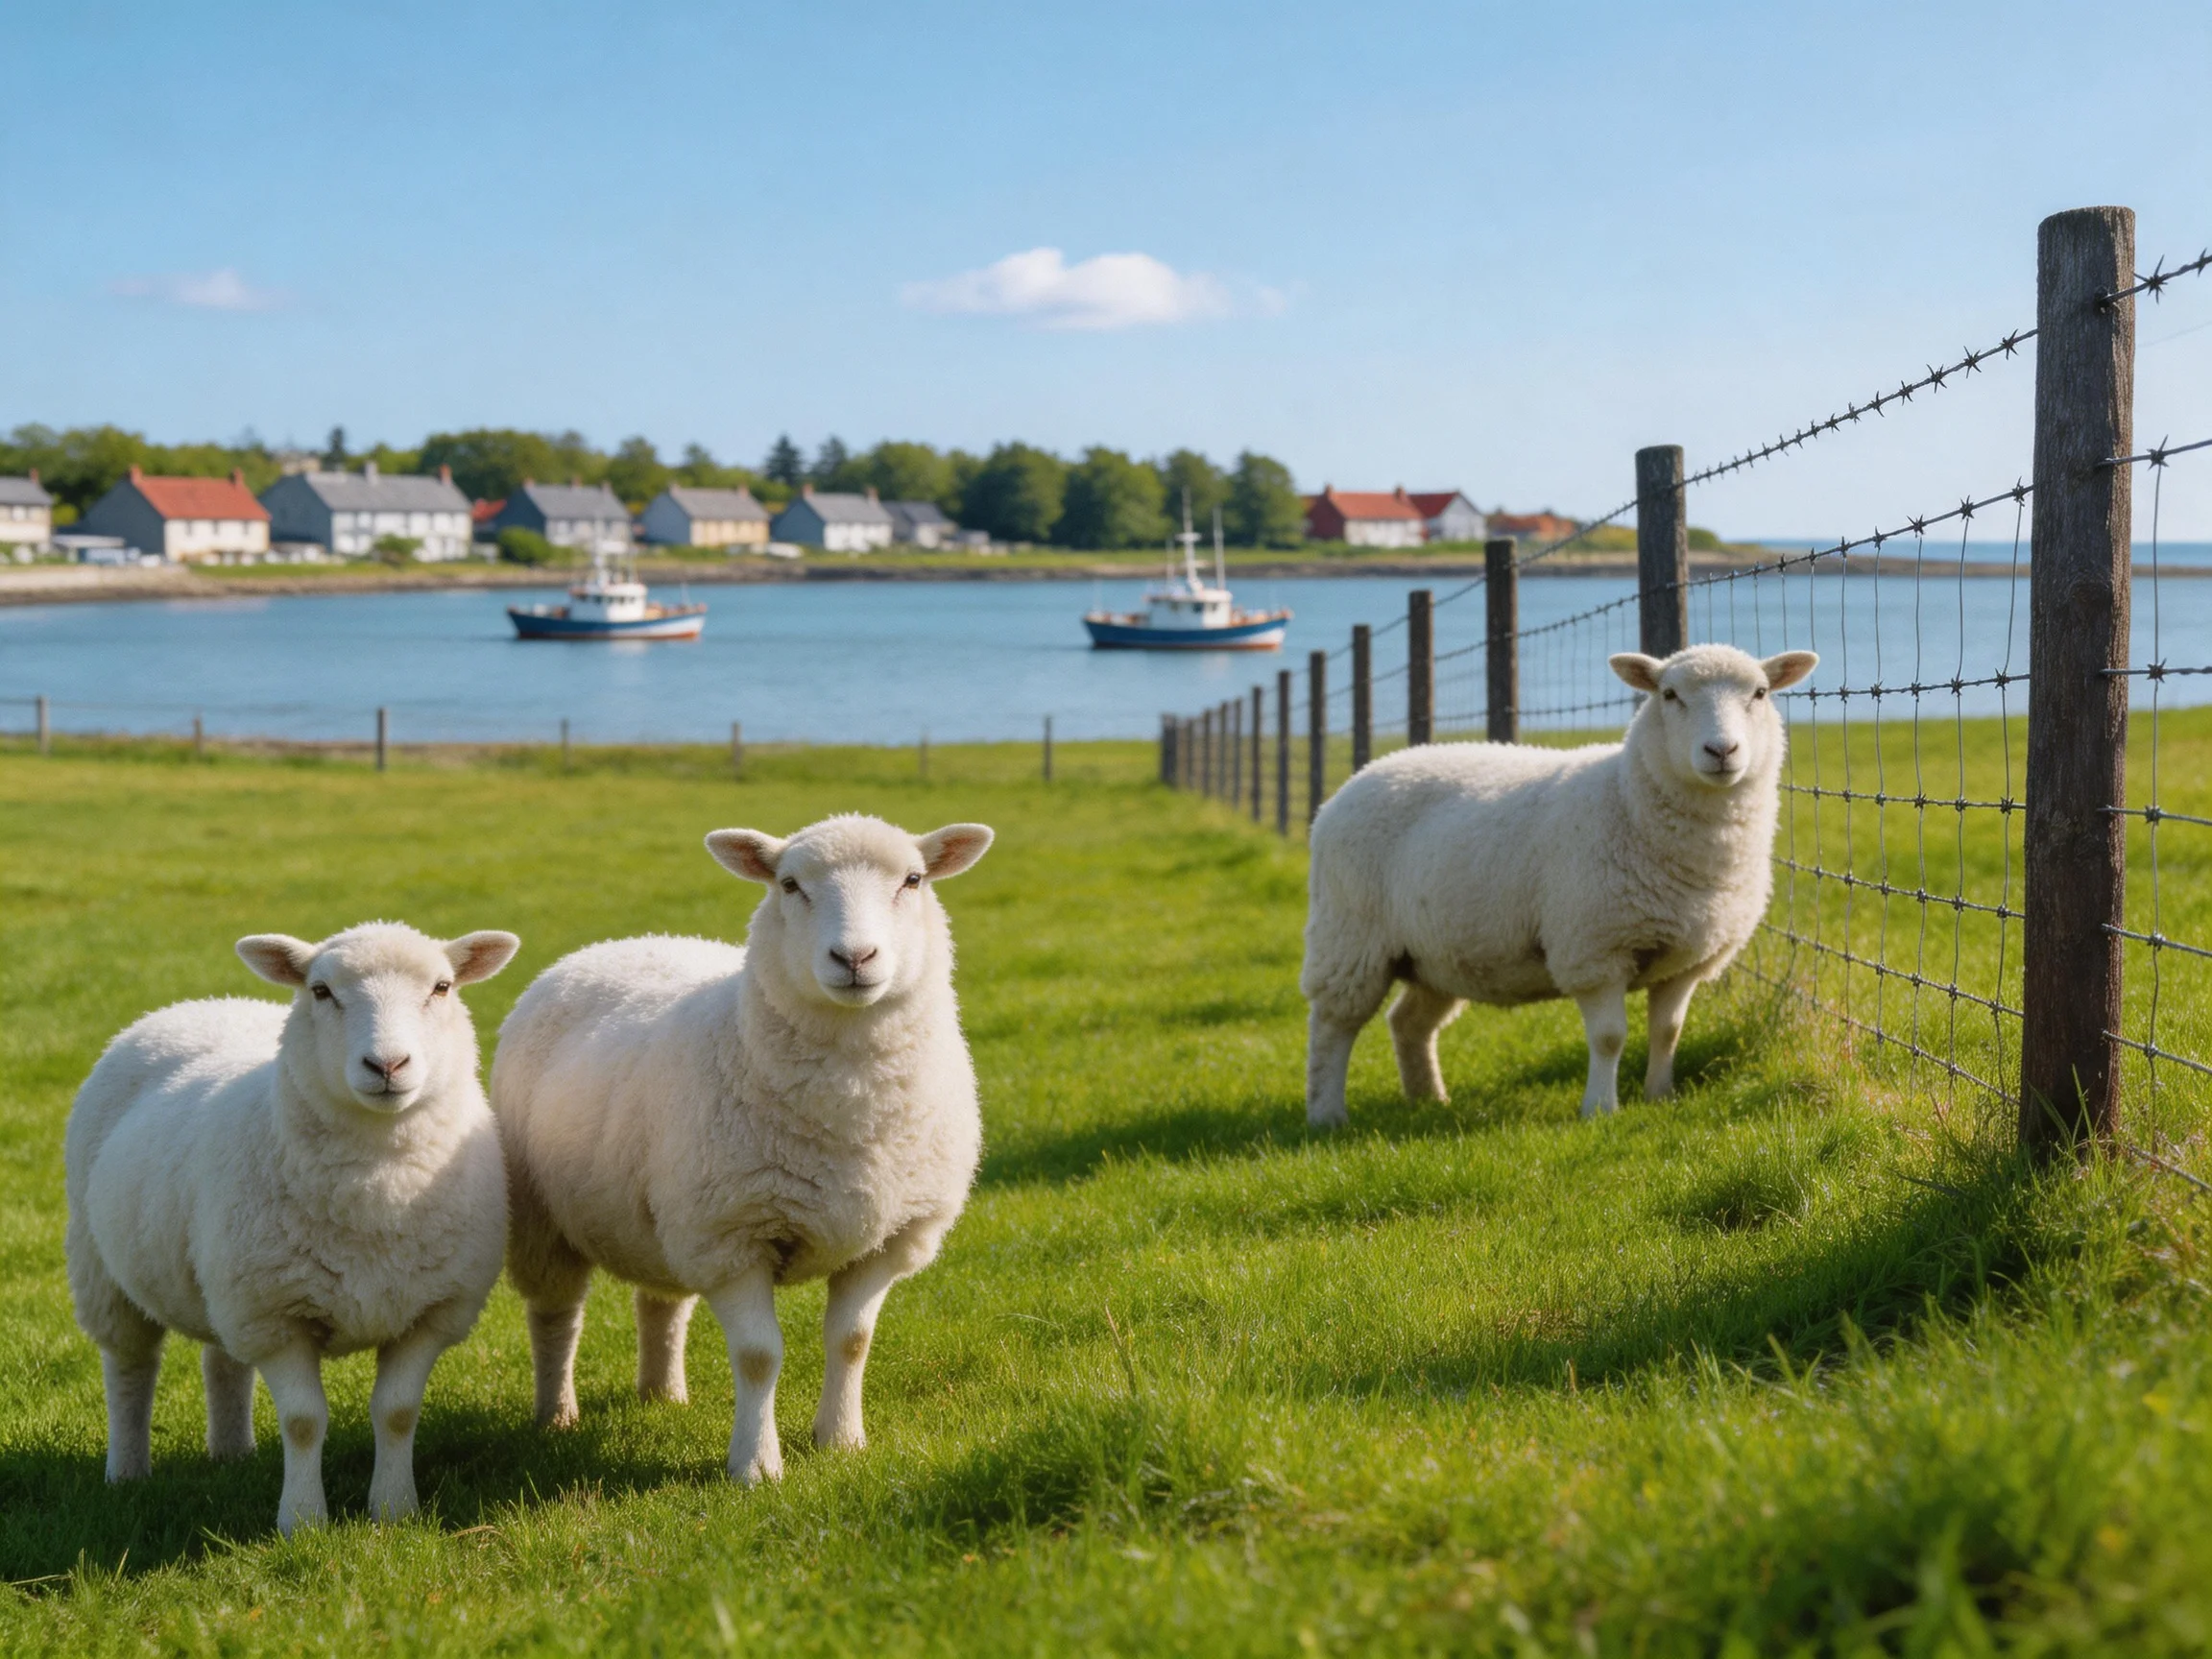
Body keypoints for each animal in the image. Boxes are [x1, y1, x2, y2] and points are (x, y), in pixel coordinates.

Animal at [65, 922, 519, 1535]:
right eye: (321, 991)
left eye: (442, 987)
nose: (387, 1066)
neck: (378, 1189)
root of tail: (200, 1004)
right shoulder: (277, 1317)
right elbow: (304, 1421)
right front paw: (302, 1521)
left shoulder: (430, 1312)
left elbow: (398, 1414)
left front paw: (394, 1510)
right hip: (104, 1271)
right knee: (130, 1370)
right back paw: (127, 1470)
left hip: (226, 1282)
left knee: (223, 1363)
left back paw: (232, 1453)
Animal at [488, 813, 994, 1484]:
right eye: (789, 885)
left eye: (913, 880)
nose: (854, 957)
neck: (852, 1111)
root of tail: (619, 942)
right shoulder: (732, 1237)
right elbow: (758, 1356)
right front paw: (755, 1466)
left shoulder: (885, 1239)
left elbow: (851, 1341)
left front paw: (841, 1441)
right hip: (546, 1219)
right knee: (555, 1317)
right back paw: (556, 1414)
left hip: (669, 1216)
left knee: (661, 1303)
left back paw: (663, 1395)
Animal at [1301, 644, 1817, 1126]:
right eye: (1669, 695)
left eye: (1760, 693)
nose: (1721, 751)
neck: (1627, 799)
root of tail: (1362, 777)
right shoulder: (1594, 951)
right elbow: (1609, 1038)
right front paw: (1600, 1109)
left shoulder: (1685, 959)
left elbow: (1668, 1032)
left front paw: (1660, 1097)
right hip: (1350, 936)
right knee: (1332, 1024)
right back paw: (1327, 1115)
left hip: (1435, 953)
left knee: (1408, 1022)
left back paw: (1429, 1099)